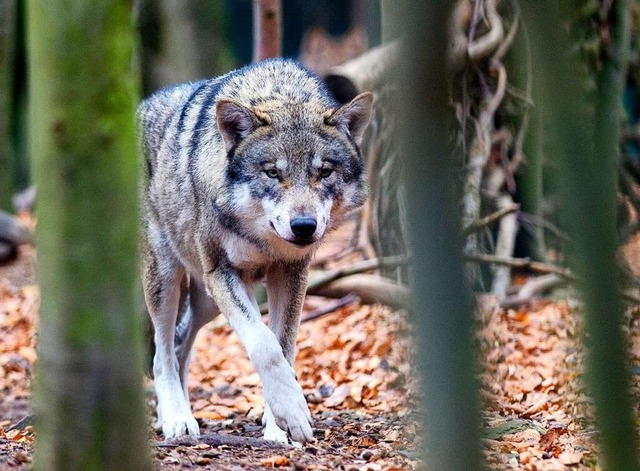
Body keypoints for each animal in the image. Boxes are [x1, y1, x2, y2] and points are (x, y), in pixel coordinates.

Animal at [138, 57, 372, 444]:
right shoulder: (223, 273)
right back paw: (176, 419)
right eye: (272, 173)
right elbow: (265, 345)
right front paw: (293, 412)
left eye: (324, 172)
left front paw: (279, 425)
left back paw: (183, 412)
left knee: (180, 344)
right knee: (162, 353)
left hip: (206, 302)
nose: (304, 226)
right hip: (169, 279)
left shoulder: (291, 274)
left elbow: (284, 347)